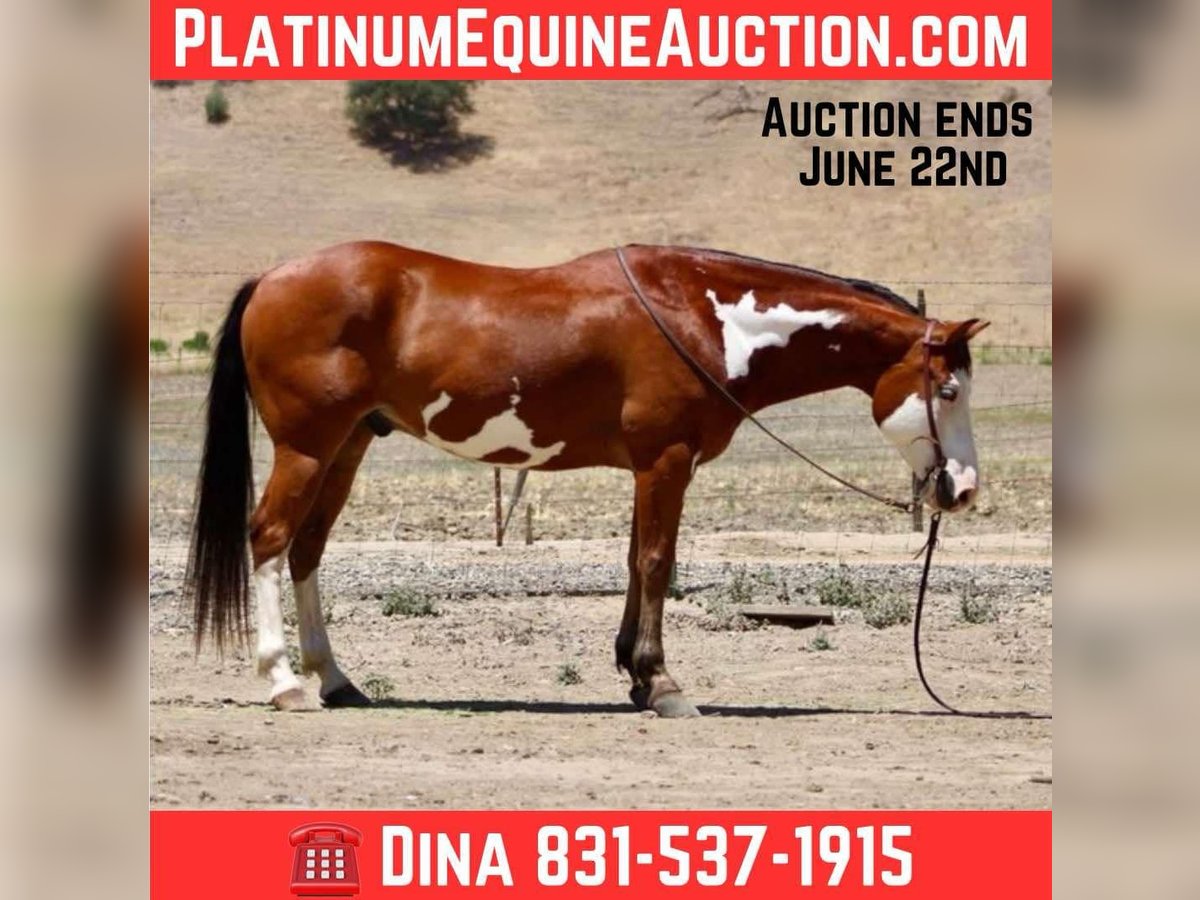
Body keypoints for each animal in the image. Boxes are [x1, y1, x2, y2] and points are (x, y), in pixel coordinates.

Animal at [184, 241, 988, 717]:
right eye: (949, 390)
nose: (964, 488)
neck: (702, 315)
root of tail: (272, 278)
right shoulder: (666, 460)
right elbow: (658, 562)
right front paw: (662, 684)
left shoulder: (650, 466)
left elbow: (636, 562)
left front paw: (633, 673)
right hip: (306, 447)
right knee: (269, 539)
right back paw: (285, 681)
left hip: (347, 447)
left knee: (307, 551)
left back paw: (336, 680)